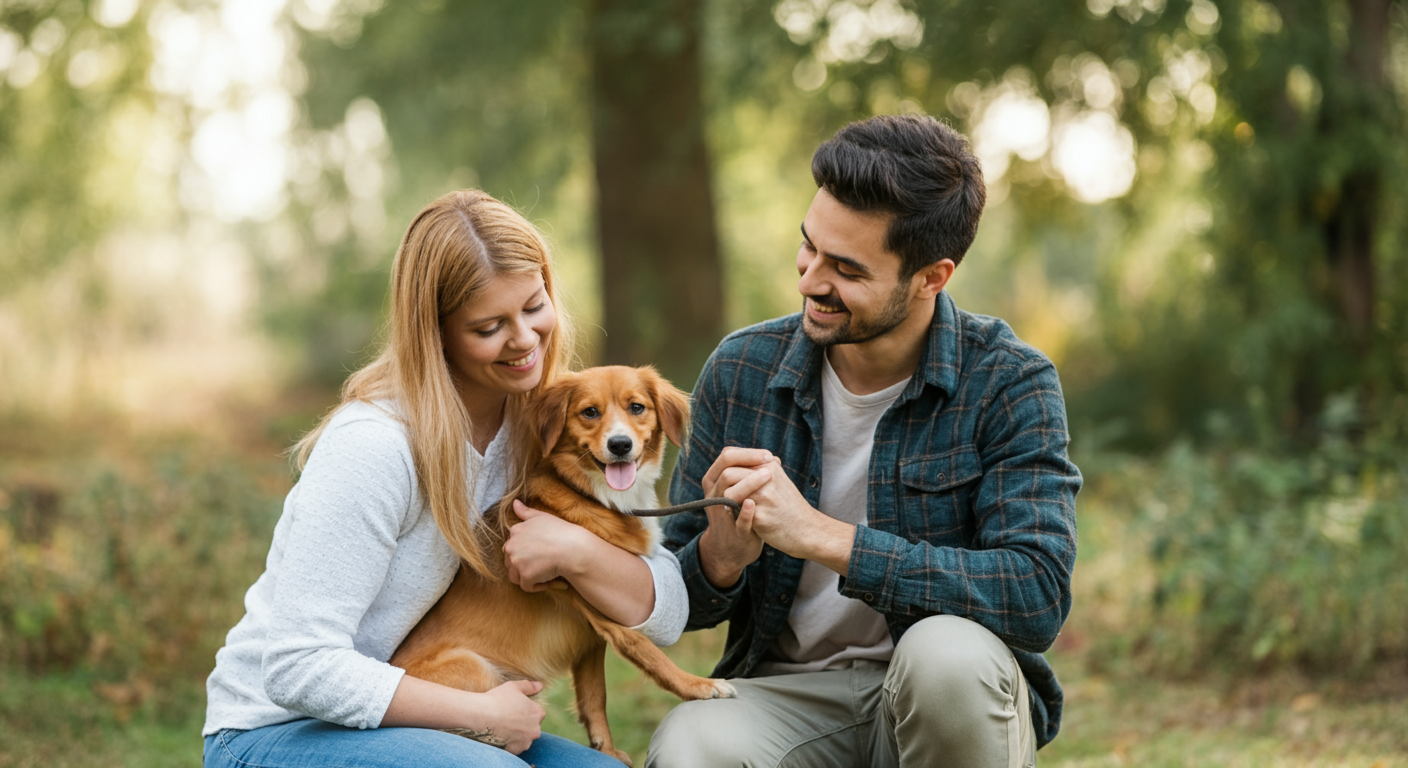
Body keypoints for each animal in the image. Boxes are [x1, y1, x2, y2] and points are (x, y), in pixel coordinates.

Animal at [388, 363, 732, 760]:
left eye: (637, 407)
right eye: (590, 412)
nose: (619, 445)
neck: (594, 496)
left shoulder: (592, 634)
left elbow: (594, 695)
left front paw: (605, 749)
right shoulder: (600, 613)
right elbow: (645, 650)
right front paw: (699, 686)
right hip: (476, 669)